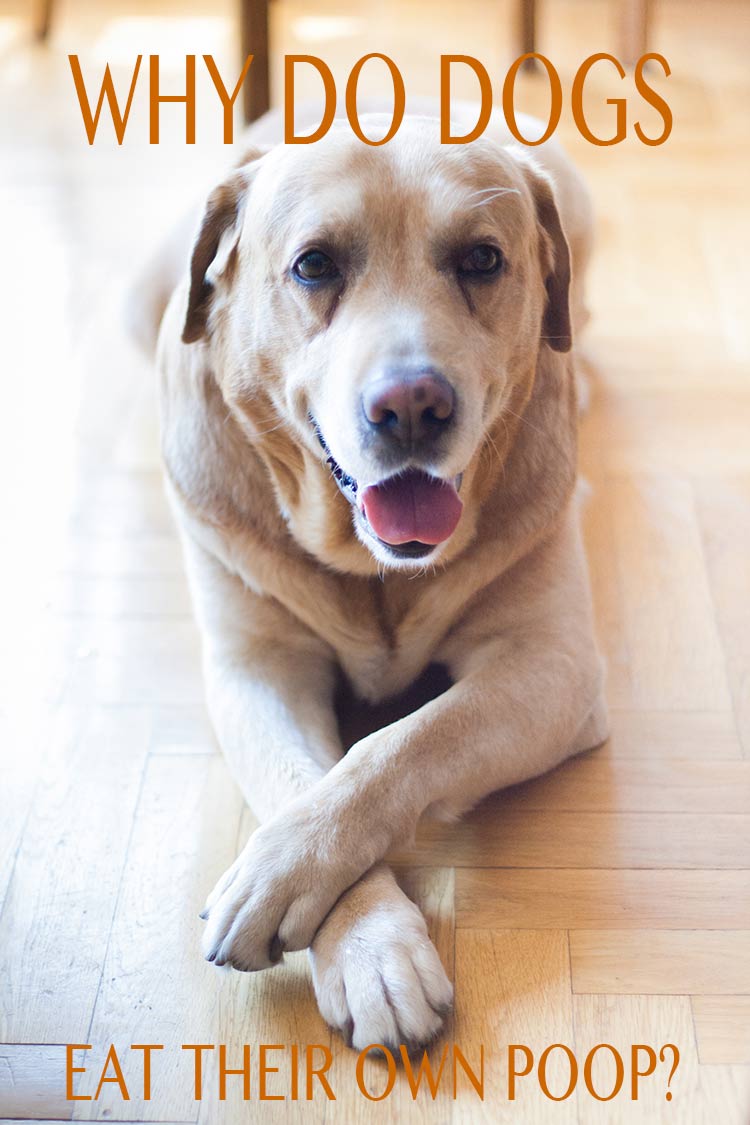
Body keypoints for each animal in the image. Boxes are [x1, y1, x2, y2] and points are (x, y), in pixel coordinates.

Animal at [148, 105, 611, 1053]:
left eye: (482, 260)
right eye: (314, 265)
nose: (411, 407)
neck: (373, 567)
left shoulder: (554, 667)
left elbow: (395, 748)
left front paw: (284, 872)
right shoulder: (256, 671)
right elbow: (303, 774)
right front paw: (370, 948)